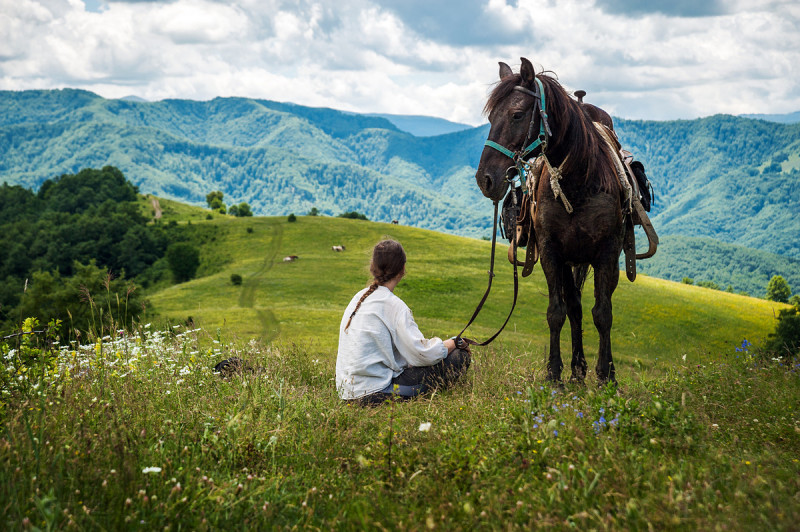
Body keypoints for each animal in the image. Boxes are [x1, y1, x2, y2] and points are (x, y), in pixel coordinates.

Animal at [476, 58, 624, 384]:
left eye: (517, 115)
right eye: (491, 117)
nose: (485, 179)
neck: (579, 180)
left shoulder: (607, 252)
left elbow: (603, 313)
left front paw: (607, 375)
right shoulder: (551, 251)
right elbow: (557, 311)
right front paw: (554, 373)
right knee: (575, 307)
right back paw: (577, 369)